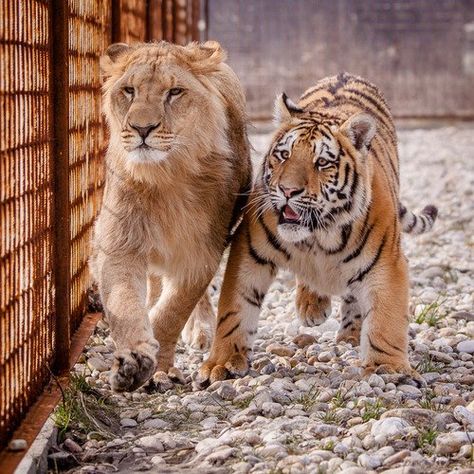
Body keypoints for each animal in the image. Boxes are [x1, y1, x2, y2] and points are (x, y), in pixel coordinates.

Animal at [90, 40, 252, 390]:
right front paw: (135, 360)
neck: (164, 177)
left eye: (174, 92)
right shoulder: (120, 246)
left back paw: (202, 331)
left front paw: (158, 368)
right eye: (129, 90)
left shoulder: (201, 253)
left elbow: (173, 312)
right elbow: (125, 303)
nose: (142, 128)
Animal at [197, 73, 436, 386]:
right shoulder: (248, 253)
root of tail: (344, 74)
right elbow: (234, 310)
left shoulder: (387, 263)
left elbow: (387, 318)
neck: (319, 236)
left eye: (322, 162)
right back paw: (312, 305)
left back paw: (349, 335)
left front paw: (390, 367)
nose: (287, 191)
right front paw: (221, 362)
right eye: (283, 155)